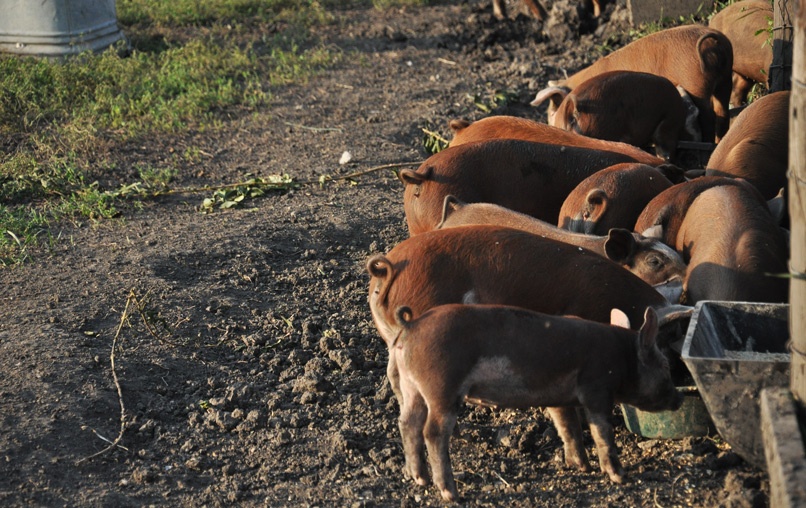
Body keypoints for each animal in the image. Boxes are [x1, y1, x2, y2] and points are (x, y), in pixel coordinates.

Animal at [391, 303, 682, 501]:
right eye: (666, 366)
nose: (679, 398)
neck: (622, 358)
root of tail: (411, 326)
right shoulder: (597, 389)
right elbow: (602, 432)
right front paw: (620, 477)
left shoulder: (560, 400)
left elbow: (569, 428)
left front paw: (581, 466)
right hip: (442, 388)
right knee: (432, 432)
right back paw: (451, 493)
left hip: (411, 387)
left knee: (407, 424)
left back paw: (420, 479)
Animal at [531, 25, 733, 142]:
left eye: (552, 112)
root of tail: (714, 40)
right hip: (726, 77)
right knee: (723, 111)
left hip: (697, 85)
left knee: (709, 116)